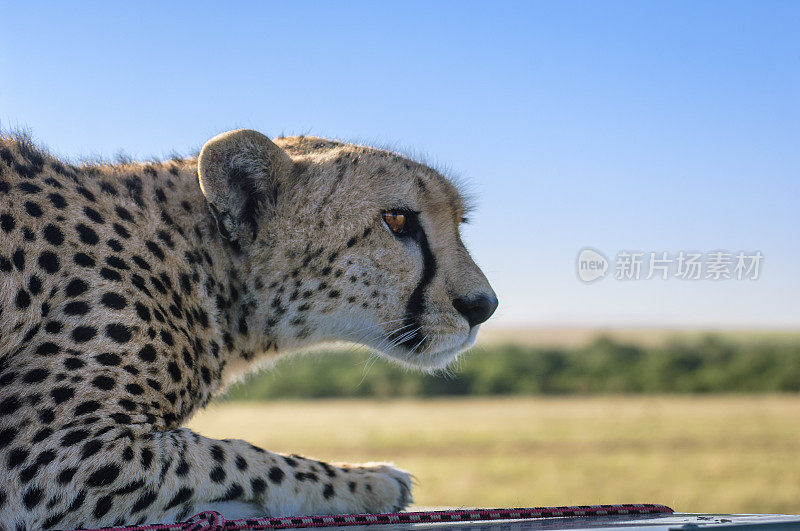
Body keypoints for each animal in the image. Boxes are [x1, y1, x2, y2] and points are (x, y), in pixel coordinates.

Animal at [0, 130, 496, 531]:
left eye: (458, 223)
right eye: (398, 221)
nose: (484, 306)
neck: (199, 260)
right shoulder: (42, 453)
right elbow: (236, 456)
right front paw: (369, 480)